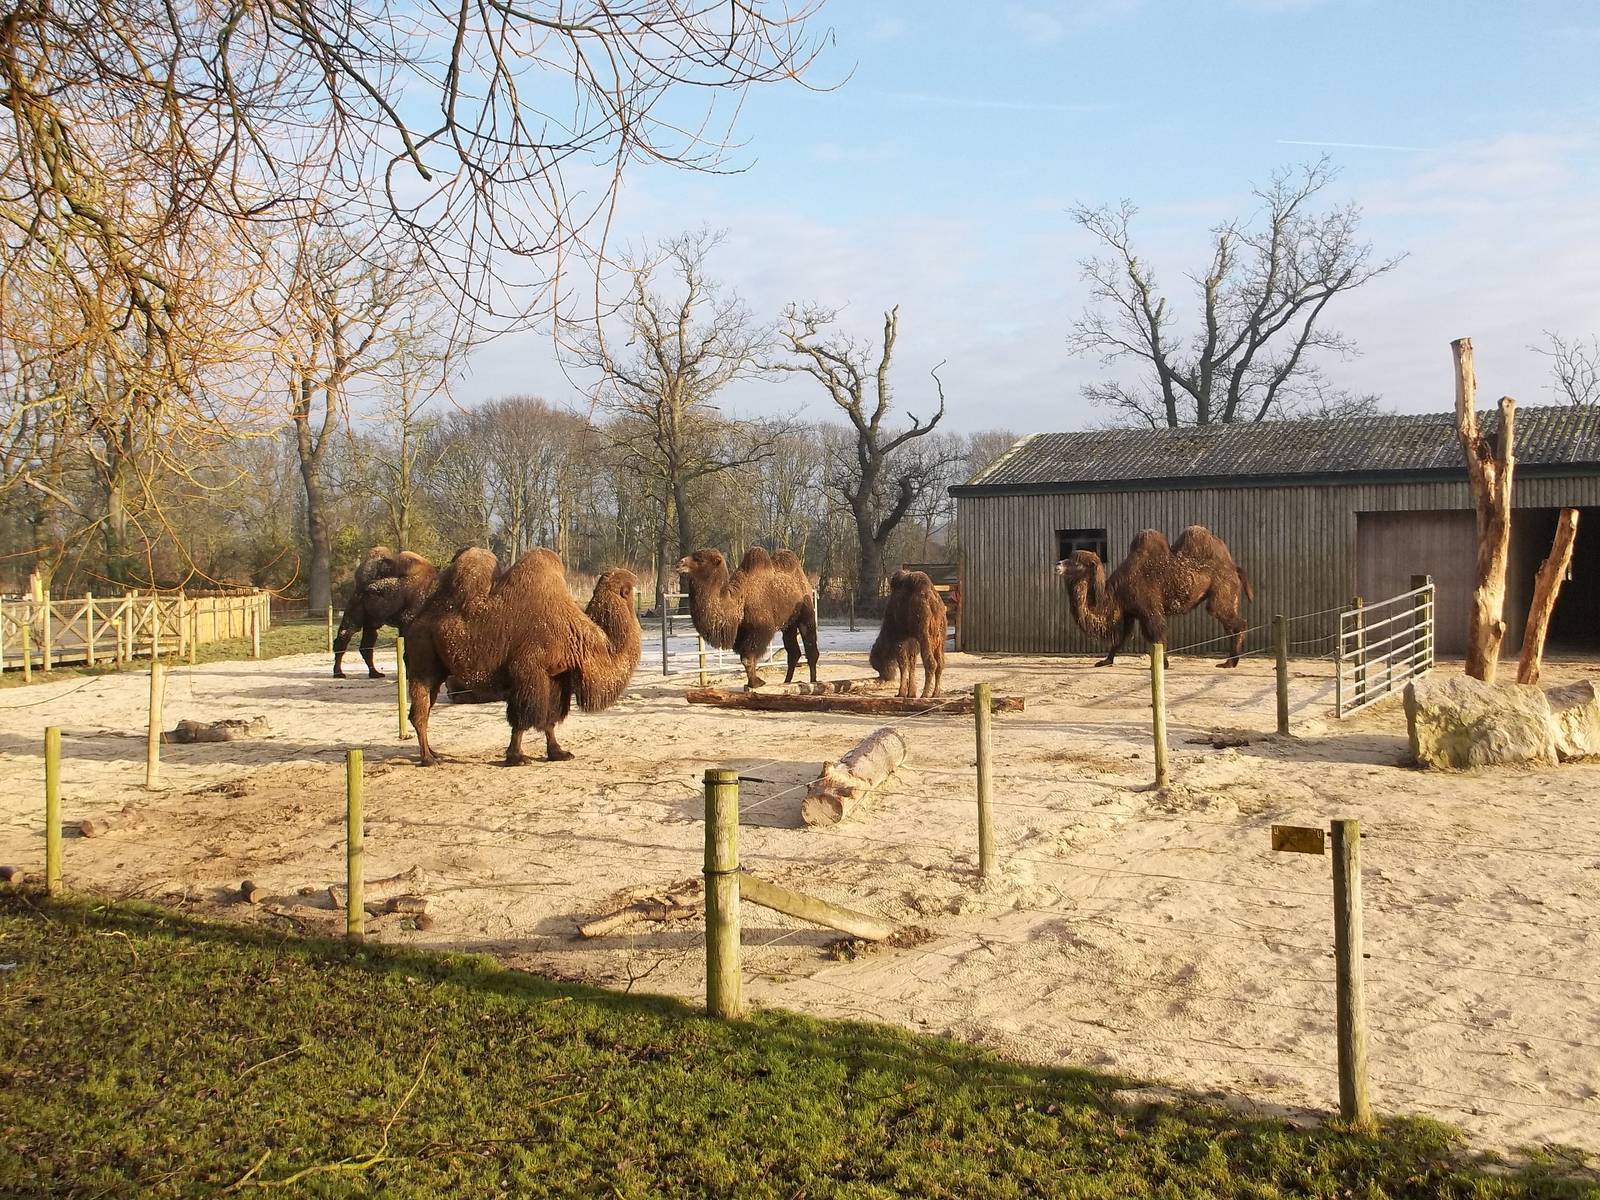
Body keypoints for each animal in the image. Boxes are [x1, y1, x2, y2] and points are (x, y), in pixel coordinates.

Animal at [332, 547, 439, 678]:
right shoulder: (407, 620)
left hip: (372, 620)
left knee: (366, 644)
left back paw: (375, 673)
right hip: (355, 609)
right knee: (345, 636)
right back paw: (339, 673)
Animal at [403, 547, 641, 765]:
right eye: (630, 588)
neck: (576, 634)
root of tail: (415, 622)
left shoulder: (554, 677)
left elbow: (549, 718)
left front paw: (558, 753)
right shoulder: (528, 670)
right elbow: (522, 719)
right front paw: (516, 757)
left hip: (438, 669)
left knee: (425, 707)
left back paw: (434, 753)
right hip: (422, 661)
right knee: (420, 712)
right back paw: (428, 759)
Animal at [676, 547, 819, 688]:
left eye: (700, 559)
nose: (679, 564)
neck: (740, 599)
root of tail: (806, 581)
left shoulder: (761, 629)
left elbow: (747, 659)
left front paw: (756, 683)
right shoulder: (742, 632)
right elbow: (745, 659)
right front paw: (752, 683)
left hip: (806, 613)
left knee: (811, 649)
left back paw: (813, 682)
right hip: (788, 624)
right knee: (793, 653)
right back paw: (786, 682)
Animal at [1055, 525, 1254, 668]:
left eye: (1077, 562)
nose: (1057, 564)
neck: (1114, 594)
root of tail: (1234, 568)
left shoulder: (1148, 609)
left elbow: (1157, 635)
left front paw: (1162, 665)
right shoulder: (1130, 612)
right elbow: (1121, 638)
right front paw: (1105, 661)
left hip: (1222, 591)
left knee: (1235, 621)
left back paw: (1230, 662)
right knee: (1230, 624)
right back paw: (1231, 660)